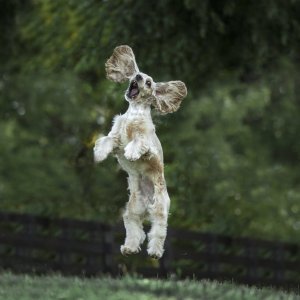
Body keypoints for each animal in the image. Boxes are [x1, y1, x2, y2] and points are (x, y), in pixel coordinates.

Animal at [94, 44, 188, 258]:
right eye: (137, 74)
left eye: (148, 82)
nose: (137, 77)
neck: (134, 113)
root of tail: (146, 204)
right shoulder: (116, 135)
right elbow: (106, 140)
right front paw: (99, 154)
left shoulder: (146, 142)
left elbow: (139, 143)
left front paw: (131, 153)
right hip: (132, 211)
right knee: (135, 231)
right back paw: (129, 248)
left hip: (159, 209)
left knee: (157, 233)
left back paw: (154, 252)